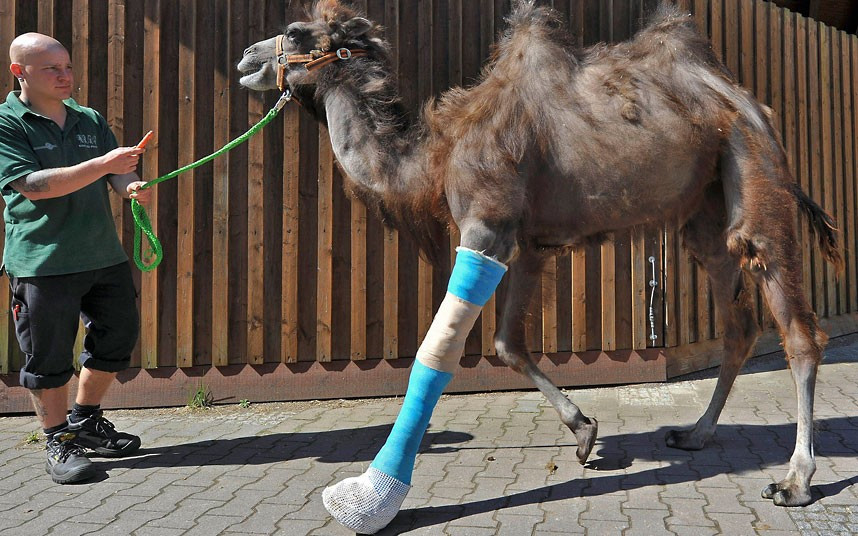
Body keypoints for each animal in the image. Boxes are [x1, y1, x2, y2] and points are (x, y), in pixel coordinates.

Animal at [238, 0, 842, 532]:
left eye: (294, 32)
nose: (246, 58)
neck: (435, 159)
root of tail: (746, 101)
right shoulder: (525, 245)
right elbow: (508, 343)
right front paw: (584, 430)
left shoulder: (486, 226)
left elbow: (437, 352)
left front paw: (369, 497)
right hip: (705, 208)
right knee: (739, 321)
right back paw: (696, 433)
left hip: (751, 162)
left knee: (796, 326)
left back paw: (795, 480)